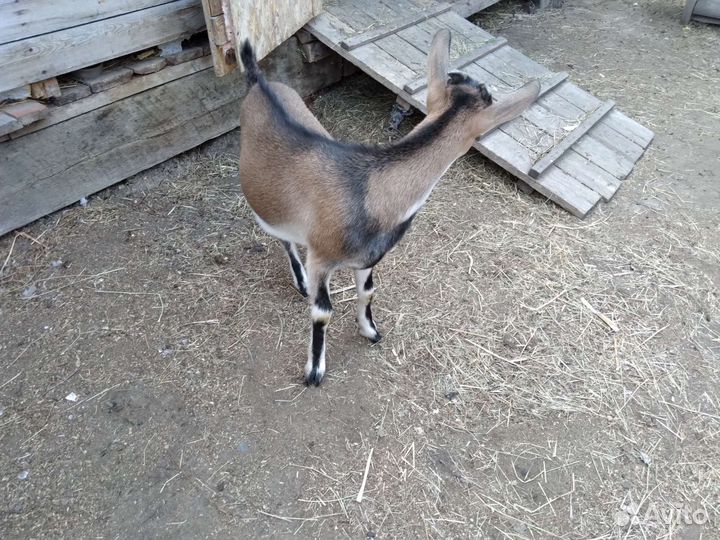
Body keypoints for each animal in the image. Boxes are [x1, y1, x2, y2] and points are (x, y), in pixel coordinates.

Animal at [238, 30, 539, 385]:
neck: (369, 188)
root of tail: (258, 82)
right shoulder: (322, 259)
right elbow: (322, 312)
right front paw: (314, 371)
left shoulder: (368, 258)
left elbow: (368, 292)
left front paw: (370, 331)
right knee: (283, 237)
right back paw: (300, 282)